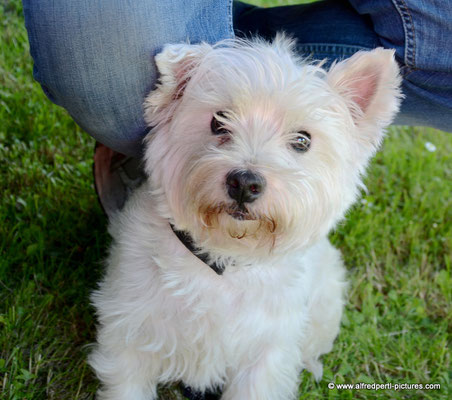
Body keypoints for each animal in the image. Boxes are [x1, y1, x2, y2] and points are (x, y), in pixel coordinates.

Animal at [90, 36, 400, 398]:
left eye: (302, 140)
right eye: (219, 120)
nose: (245, 184)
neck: (222, 261)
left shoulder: (264, 358)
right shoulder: (129, 334)